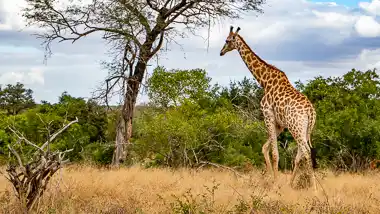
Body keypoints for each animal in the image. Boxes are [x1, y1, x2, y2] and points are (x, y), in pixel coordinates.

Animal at [220, 25, 318, 190]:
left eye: (227, 40)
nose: (221, 52)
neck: (264, 81)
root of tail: (311, 112)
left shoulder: (268, 115)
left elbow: (274, 153)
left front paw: (274, 184)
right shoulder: (280, 124)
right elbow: (264, 148)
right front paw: (270, 178)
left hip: (296, 127)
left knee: (305, 151)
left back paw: (314, 188)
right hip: (303, 129)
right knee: (300, 153)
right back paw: (292, 184)